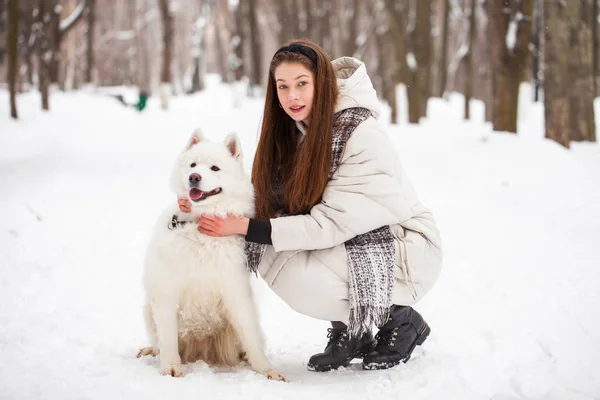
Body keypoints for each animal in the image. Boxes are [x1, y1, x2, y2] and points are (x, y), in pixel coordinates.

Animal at [137, 130, 284, 382]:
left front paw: (266, 370)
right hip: (149, 308)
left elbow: (252, 337)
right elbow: (168, 338)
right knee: (158, 342)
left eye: (215, 168)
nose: (194, 177)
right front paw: (171, 367)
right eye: (193, 165)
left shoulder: (236, 291)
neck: (199, 225)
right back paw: (151, 351)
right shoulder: (166, 291)